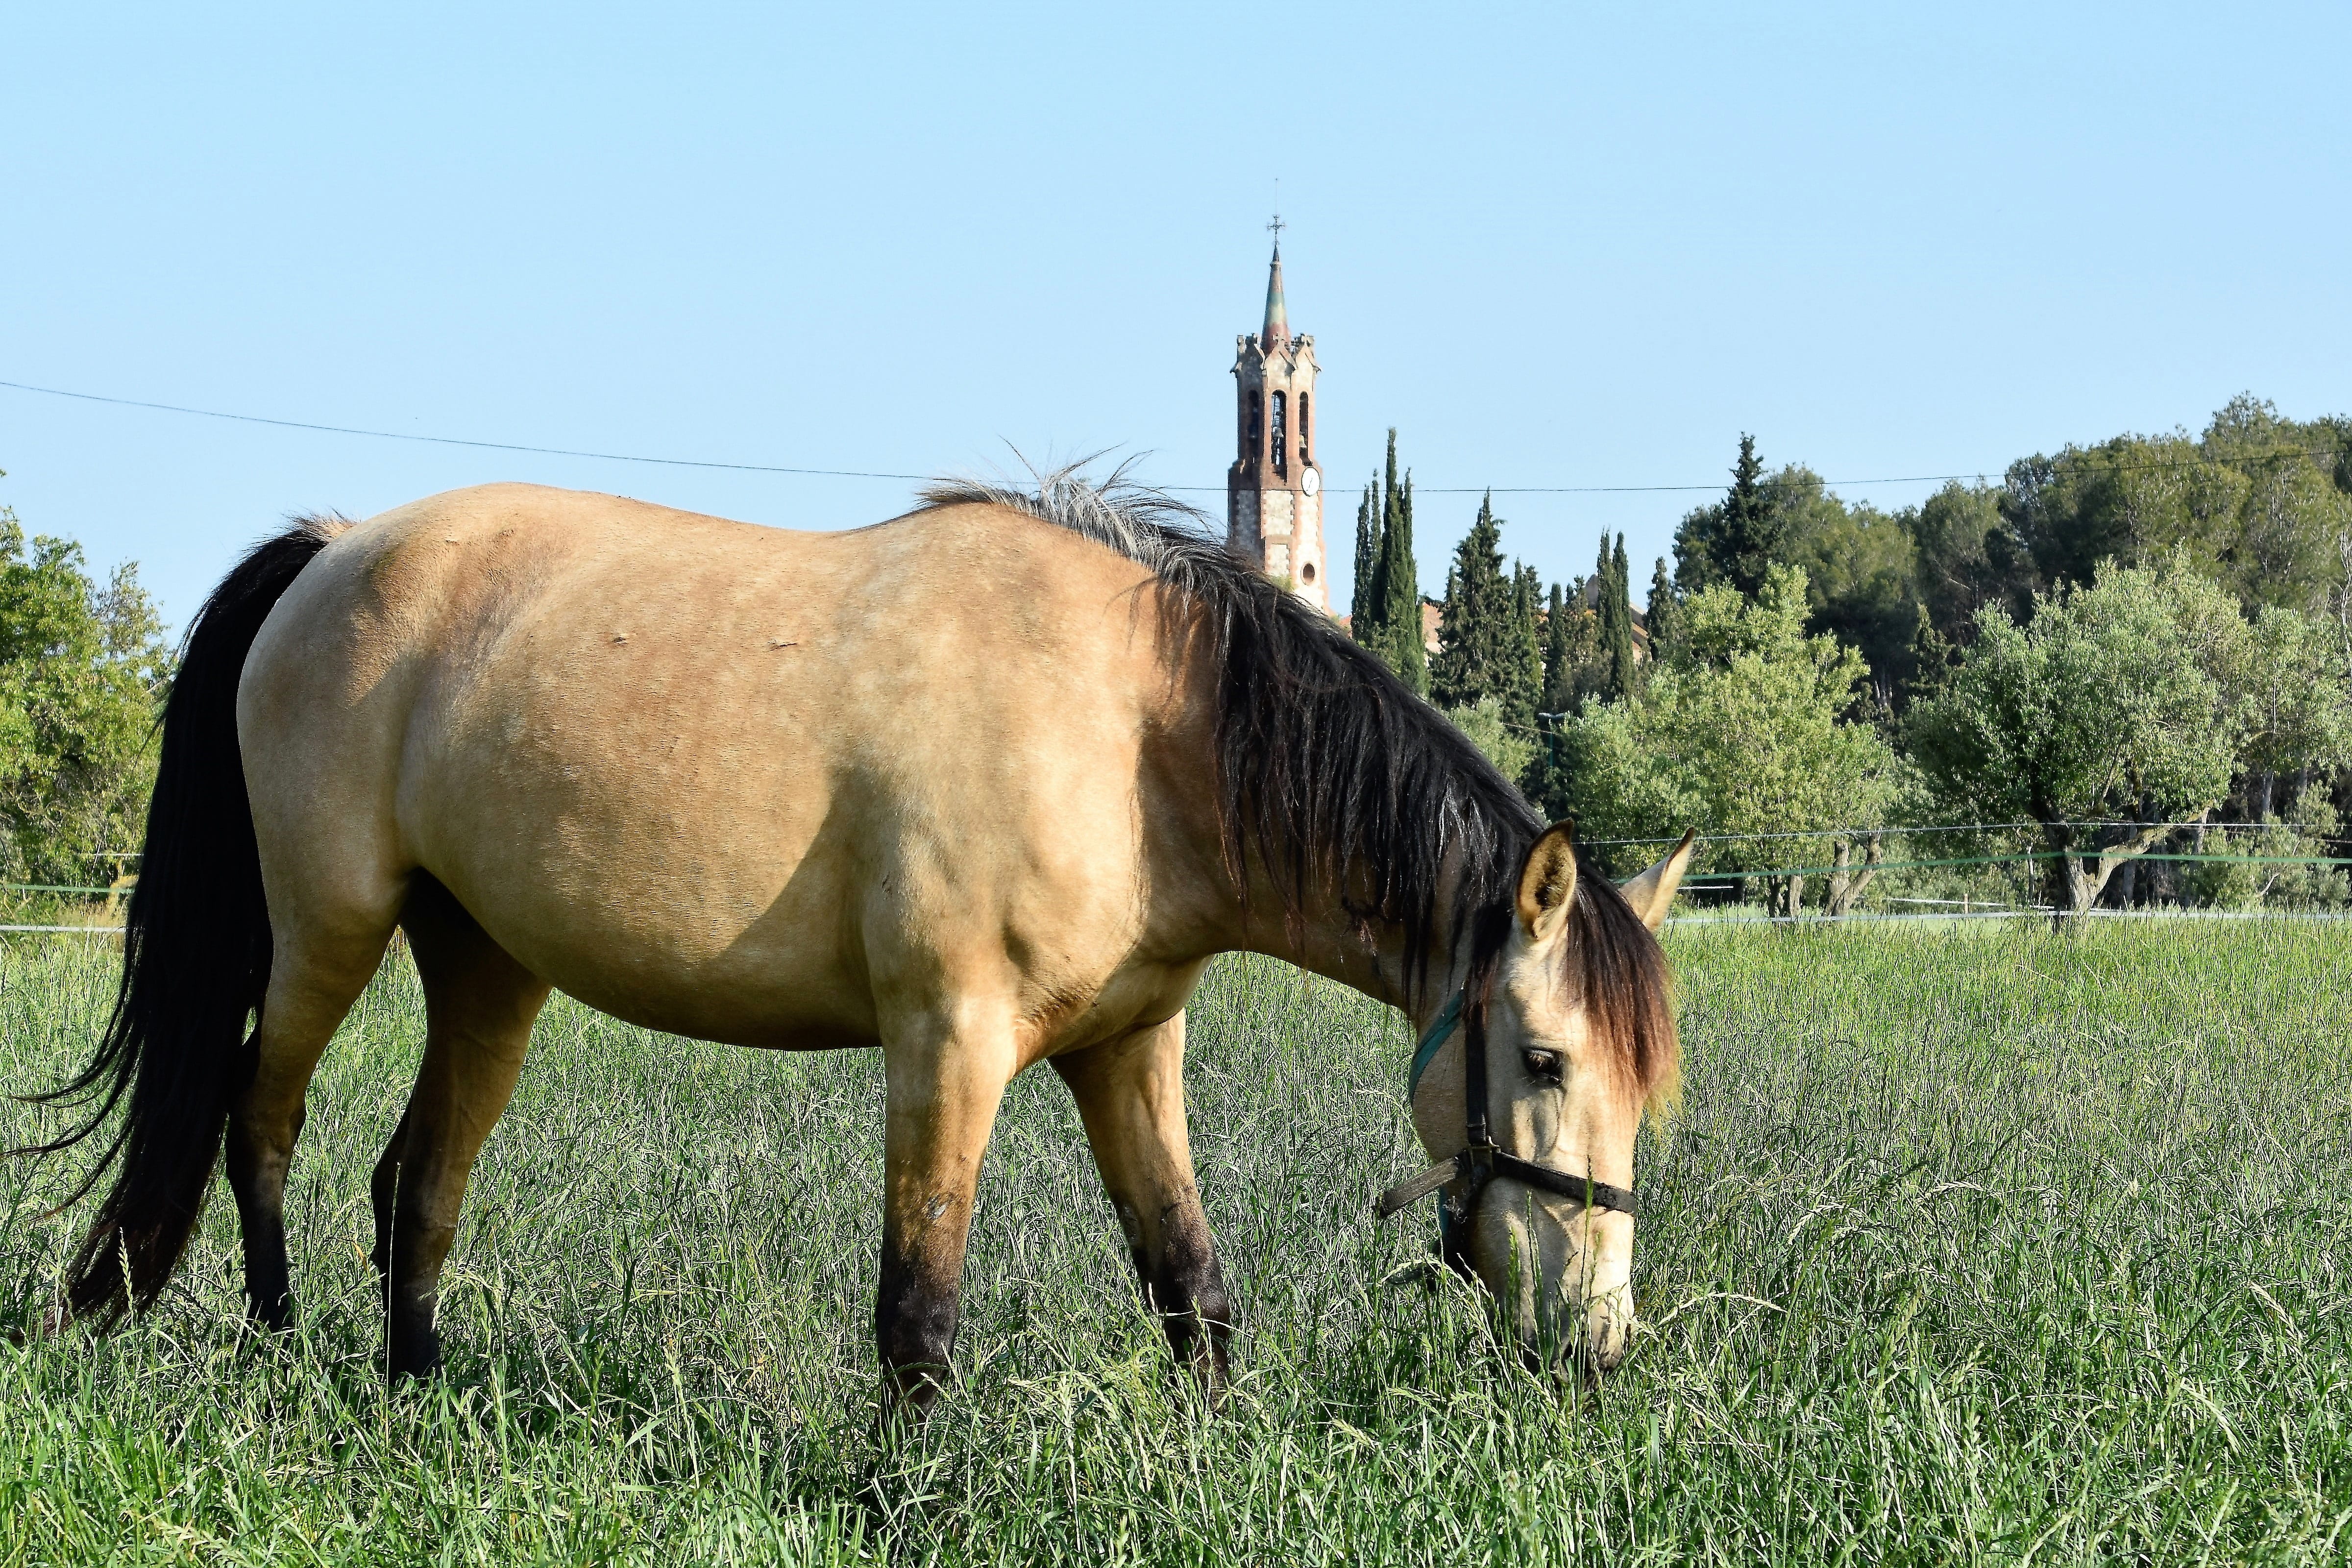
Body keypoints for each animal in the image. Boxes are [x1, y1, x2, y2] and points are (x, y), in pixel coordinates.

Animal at [28, 472, 1690, 1411]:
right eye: (1546, 1058)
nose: (1600, 1343)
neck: (1134, 730)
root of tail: (329, 549)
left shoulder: (1125, 1050)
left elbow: (1192, 1289)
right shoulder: (947, 1043)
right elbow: (918, 1320)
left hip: (489, 969)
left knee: (415, 1186)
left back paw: (412, 1399)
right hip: (327, 929)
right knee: (262, 1125)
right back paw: (281, 1361)